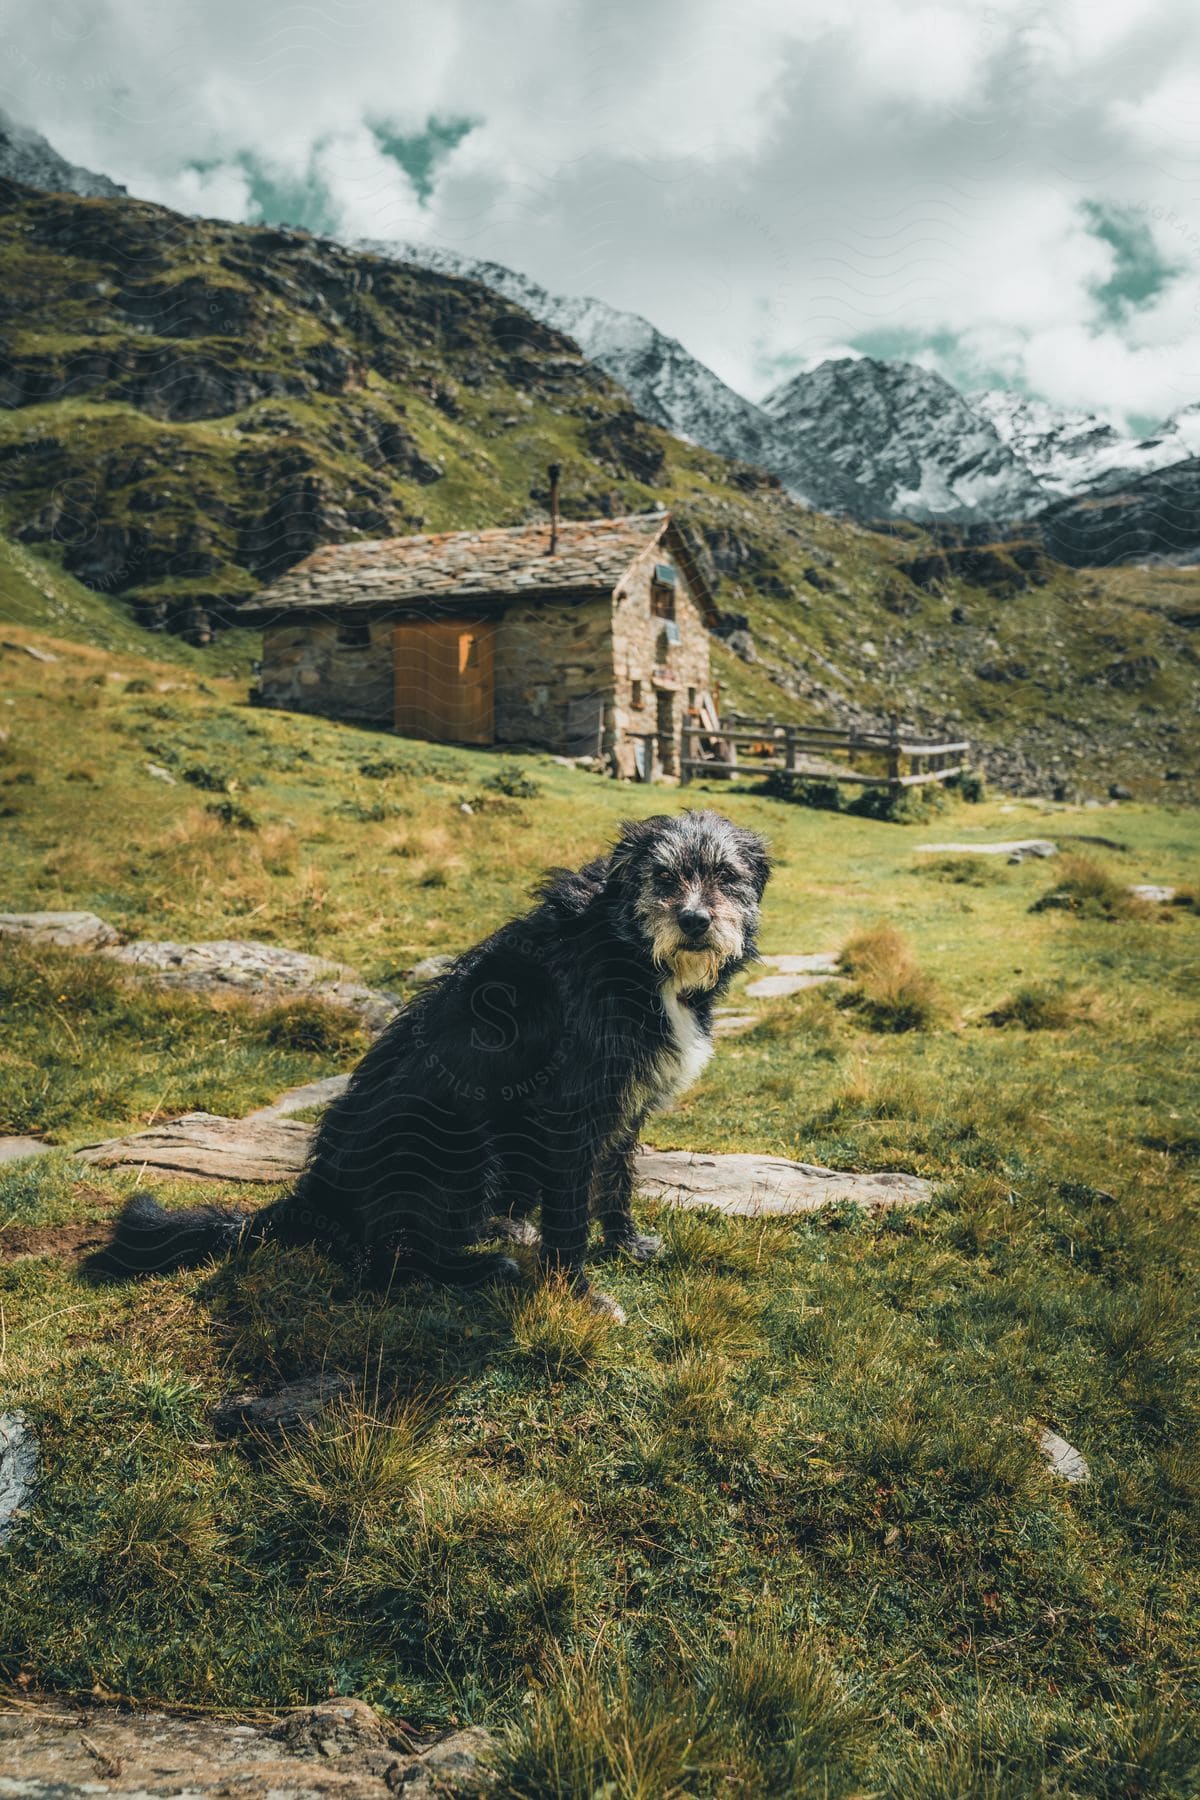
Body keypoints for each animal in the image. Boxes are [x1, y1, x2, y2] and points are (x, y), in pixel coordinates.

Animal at [107, 810, 773, 1317]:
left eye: (725, 876)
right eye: (662, 876)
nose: (695, 921)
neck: (628, 952)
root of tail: (314, 1194)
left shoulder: (625, 1105)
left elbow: (616, 1183)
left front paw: (628, 1246)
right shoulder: (570, 1114)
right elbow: (569, 1219)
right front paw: (577, 1297)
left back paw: (502, 1232)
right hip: (457, 1137)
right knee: (388, 1263)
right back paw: (484, 1267)